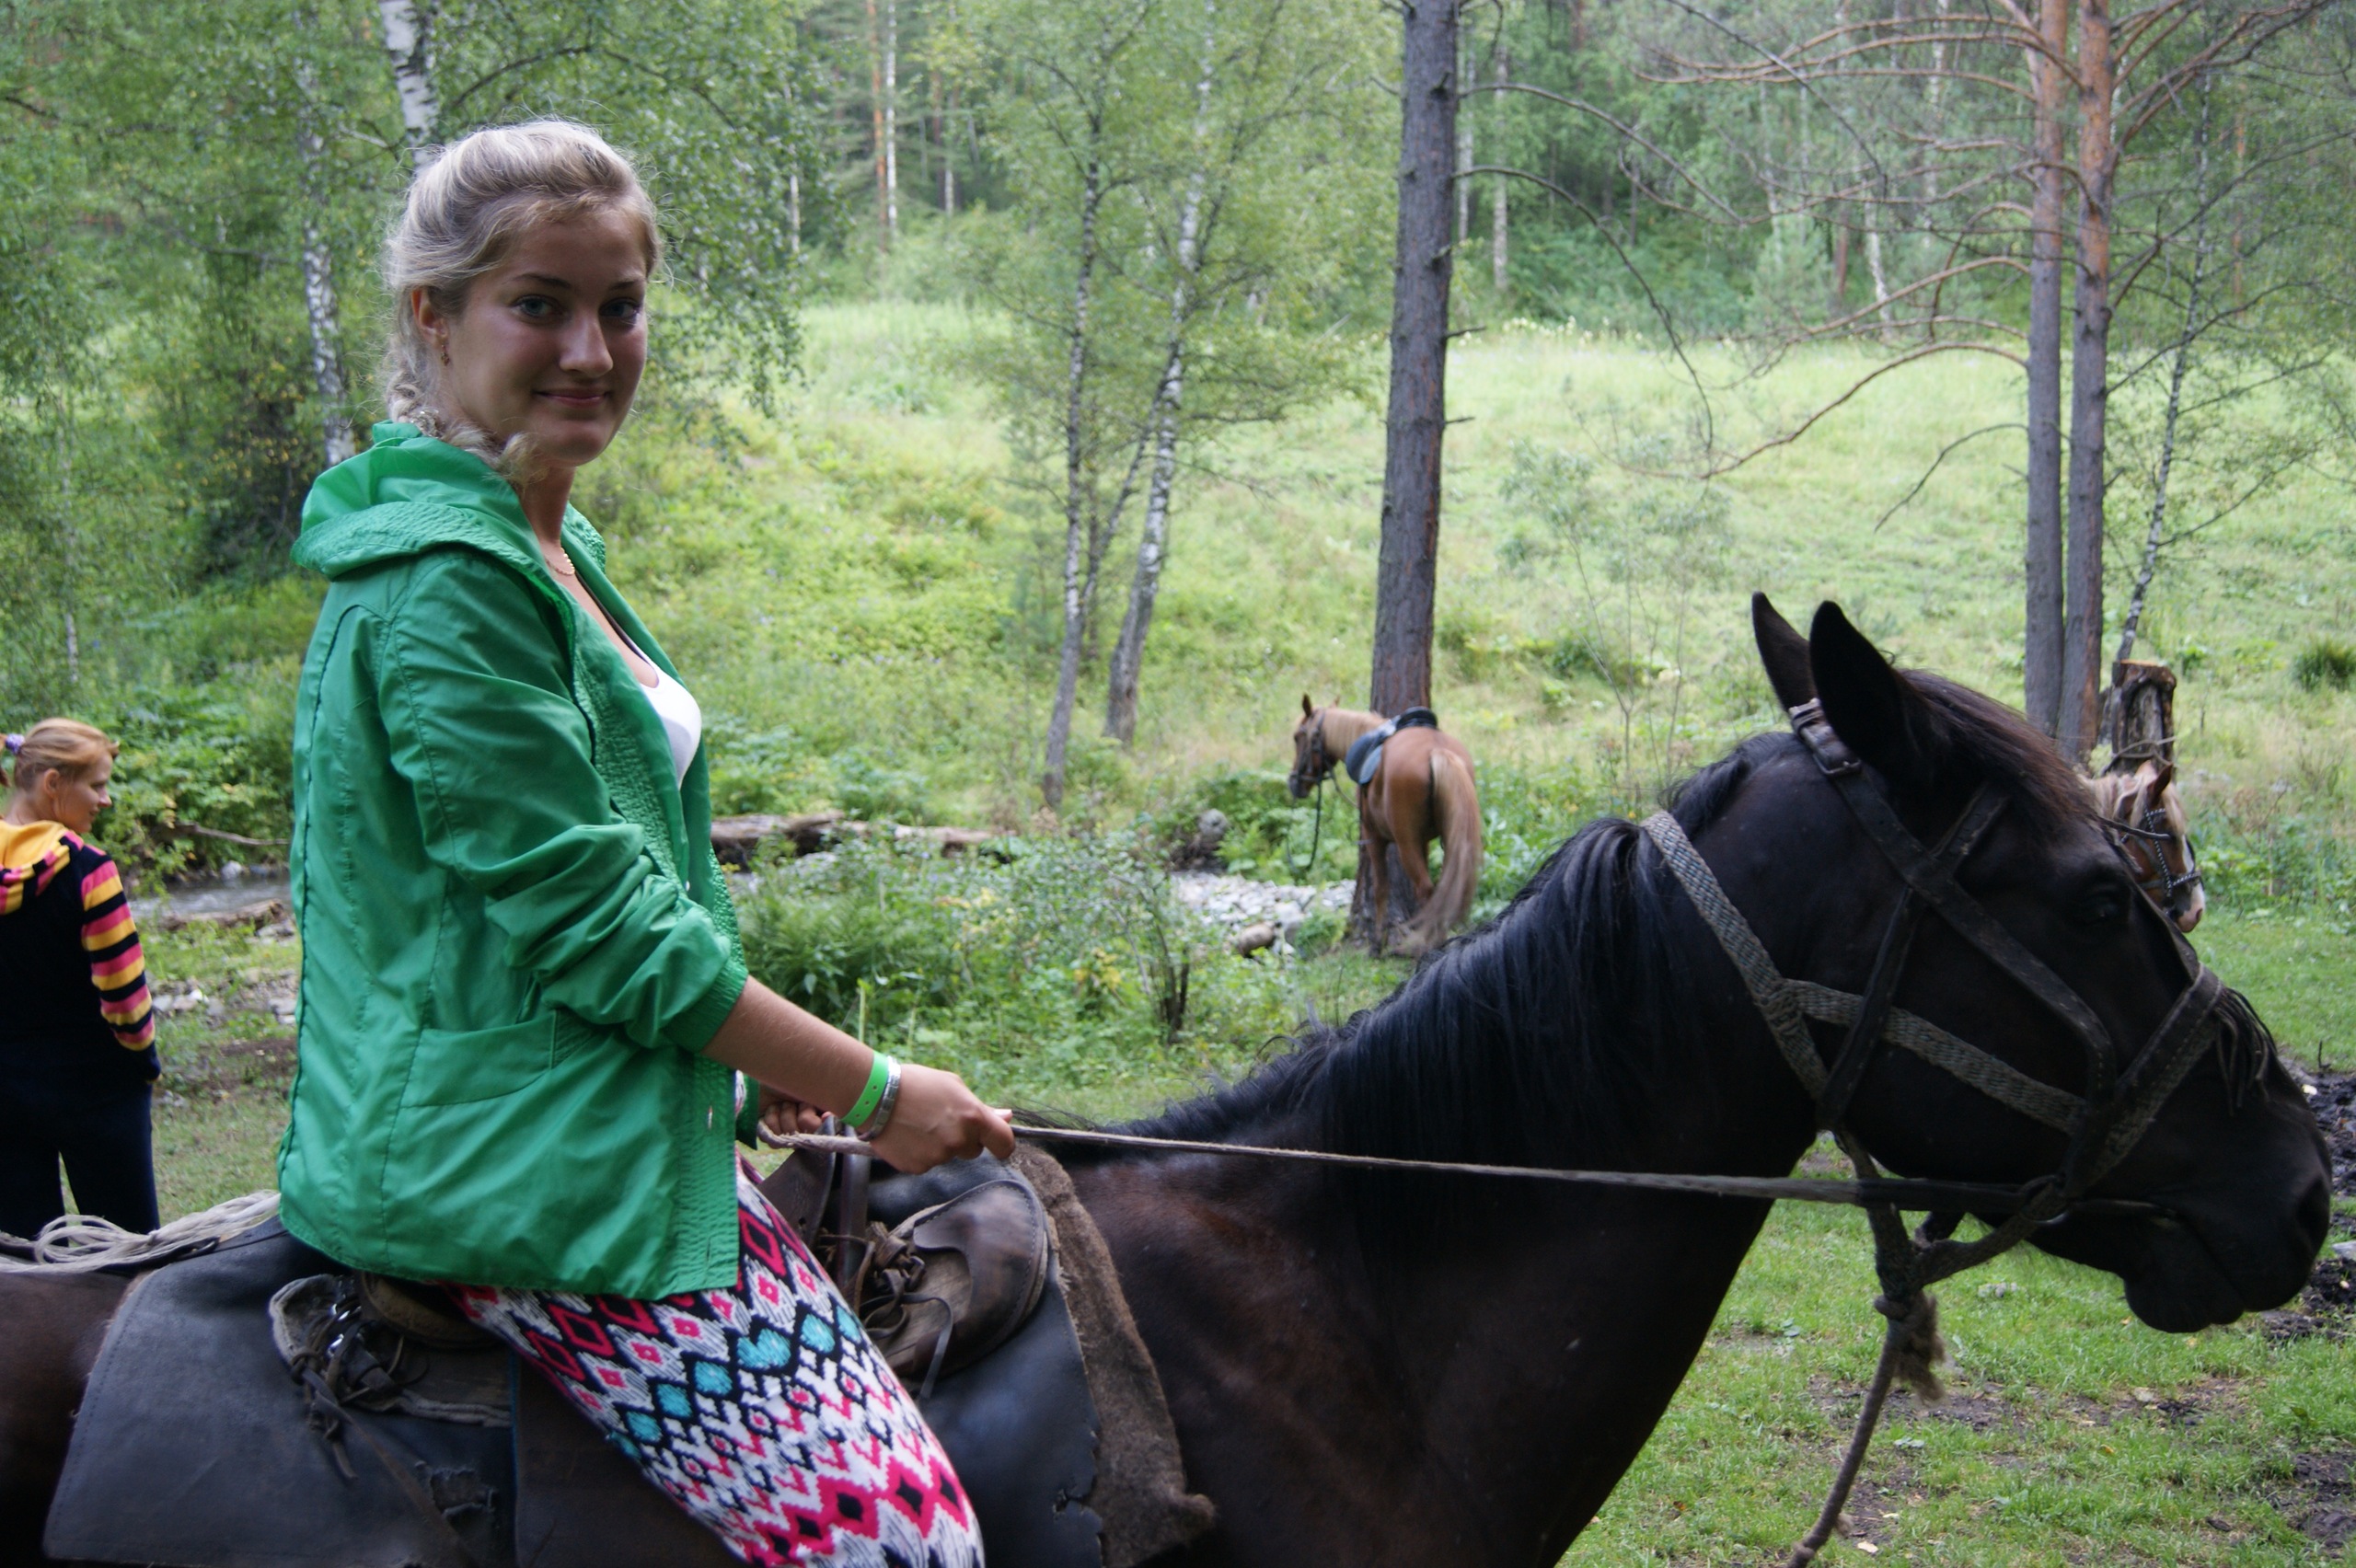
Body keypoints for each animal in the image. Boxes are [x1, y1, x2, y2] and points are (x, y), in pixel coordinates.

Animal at [1288, 698, 1483, 955]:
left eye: (1298, 737)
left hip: (1406, 843)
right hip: (1451, 840)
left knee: (1425, 890)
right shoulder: (1423, 842)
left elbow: (1381, 888)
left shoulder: (1374, 837)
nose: (1294, 783)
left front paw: (1376, 944)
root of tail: (1438, 752)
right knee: (1441, 892)